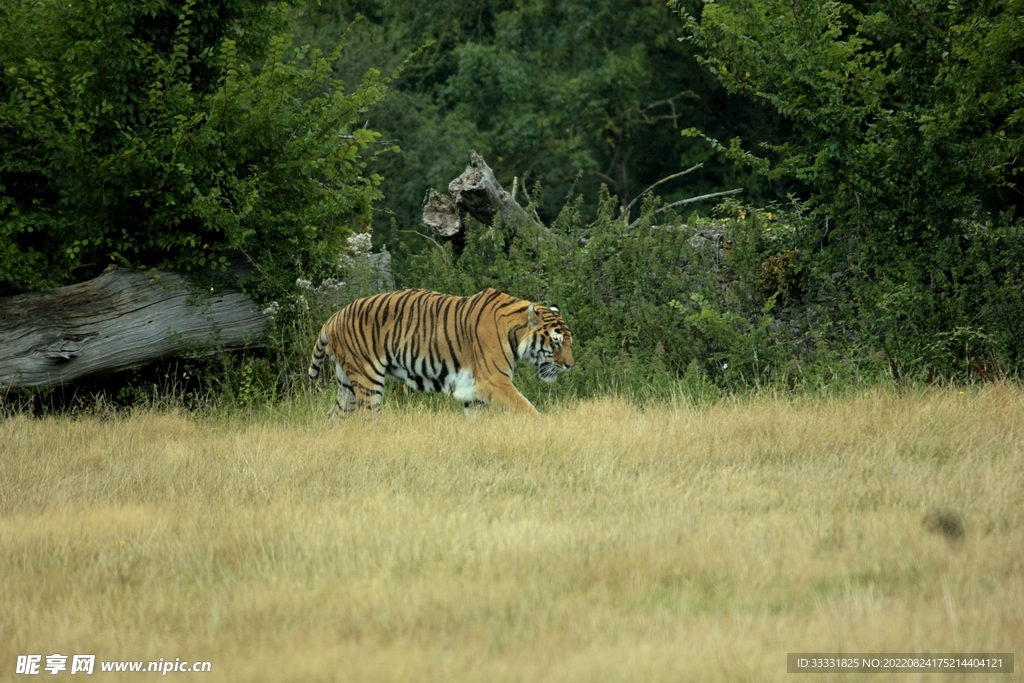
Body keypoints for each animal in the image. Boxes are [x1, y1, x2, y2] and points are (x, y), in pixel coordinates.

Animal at [307, 288, 574, 417]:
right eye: (556, 342)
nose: (570, 365)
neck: (514, 331)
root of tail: (332, 318)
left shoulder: (475, 392)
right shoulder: (495, 382)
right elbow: (526, 408)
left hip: (347, 385)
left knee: (333, 417)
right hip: (367, 380)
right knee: (368, 418)